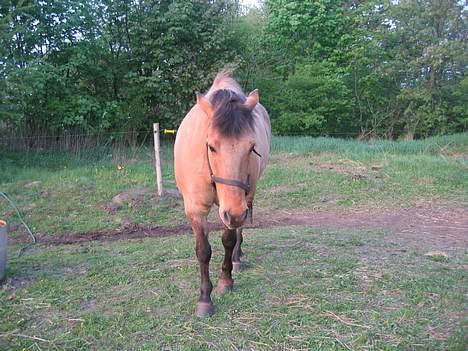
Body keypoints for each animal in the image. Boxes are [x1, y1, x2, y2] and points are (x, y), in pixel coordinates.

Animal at [175, 71, 270, 320]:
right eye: (211, 146)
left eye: (251, 147)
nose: (235, 213)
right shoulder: (195, 209)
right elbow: (203, 251)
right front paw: (204, 299)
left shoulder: (234, 207)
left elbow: (228, 240)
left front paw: (225, 281)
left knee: (238, 231)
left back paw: (236, 259)